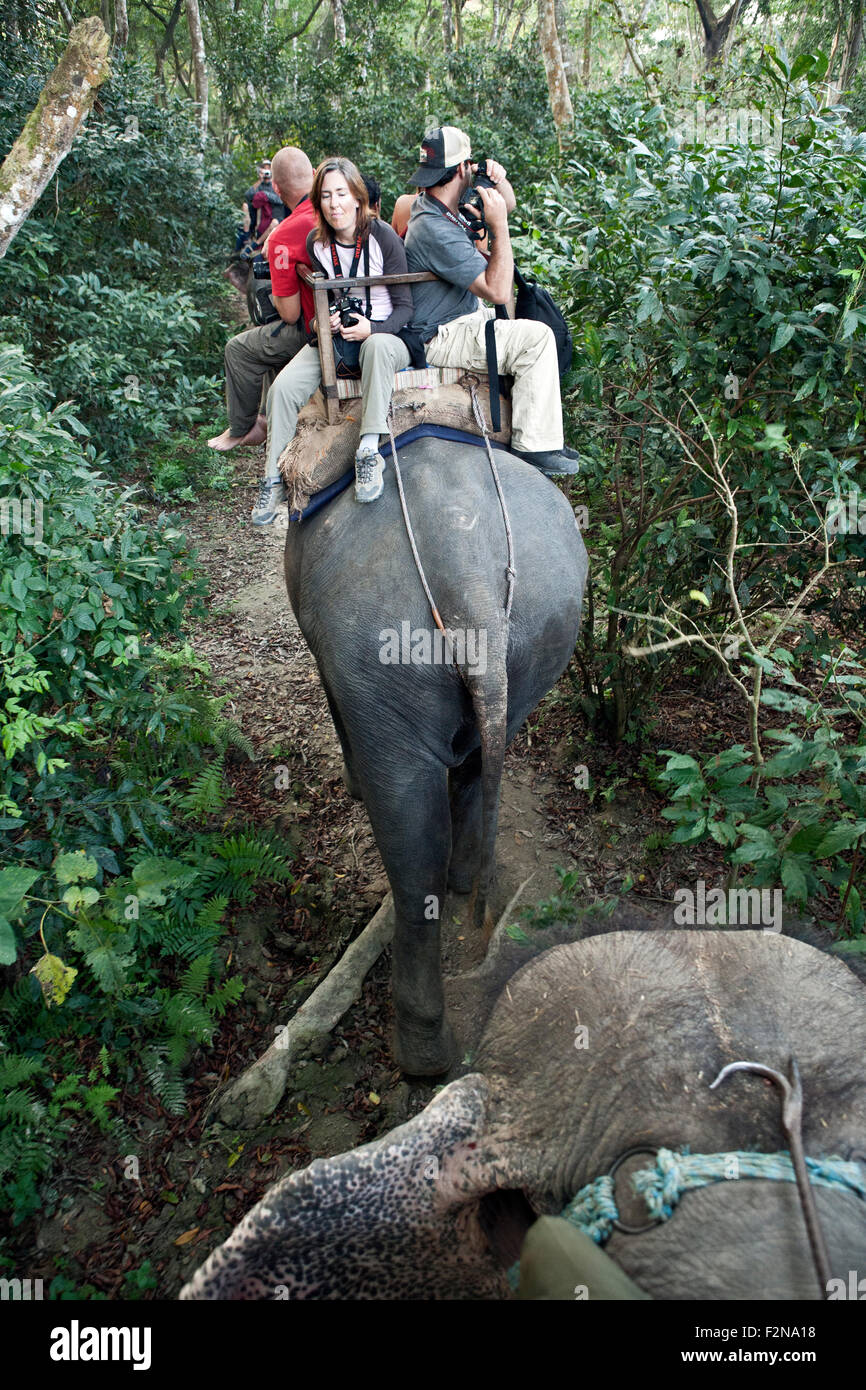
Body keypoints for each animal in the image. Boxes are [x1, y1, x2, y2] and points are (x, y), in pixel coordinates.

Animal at [280, 436, 586, 1073]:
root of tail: (468, 577)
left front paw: (350, 782)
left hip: (378, 653)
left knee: (410, 842)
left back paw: (422, 1054)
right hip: (543, 631)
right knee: (481, 759)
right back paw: (464, 882)